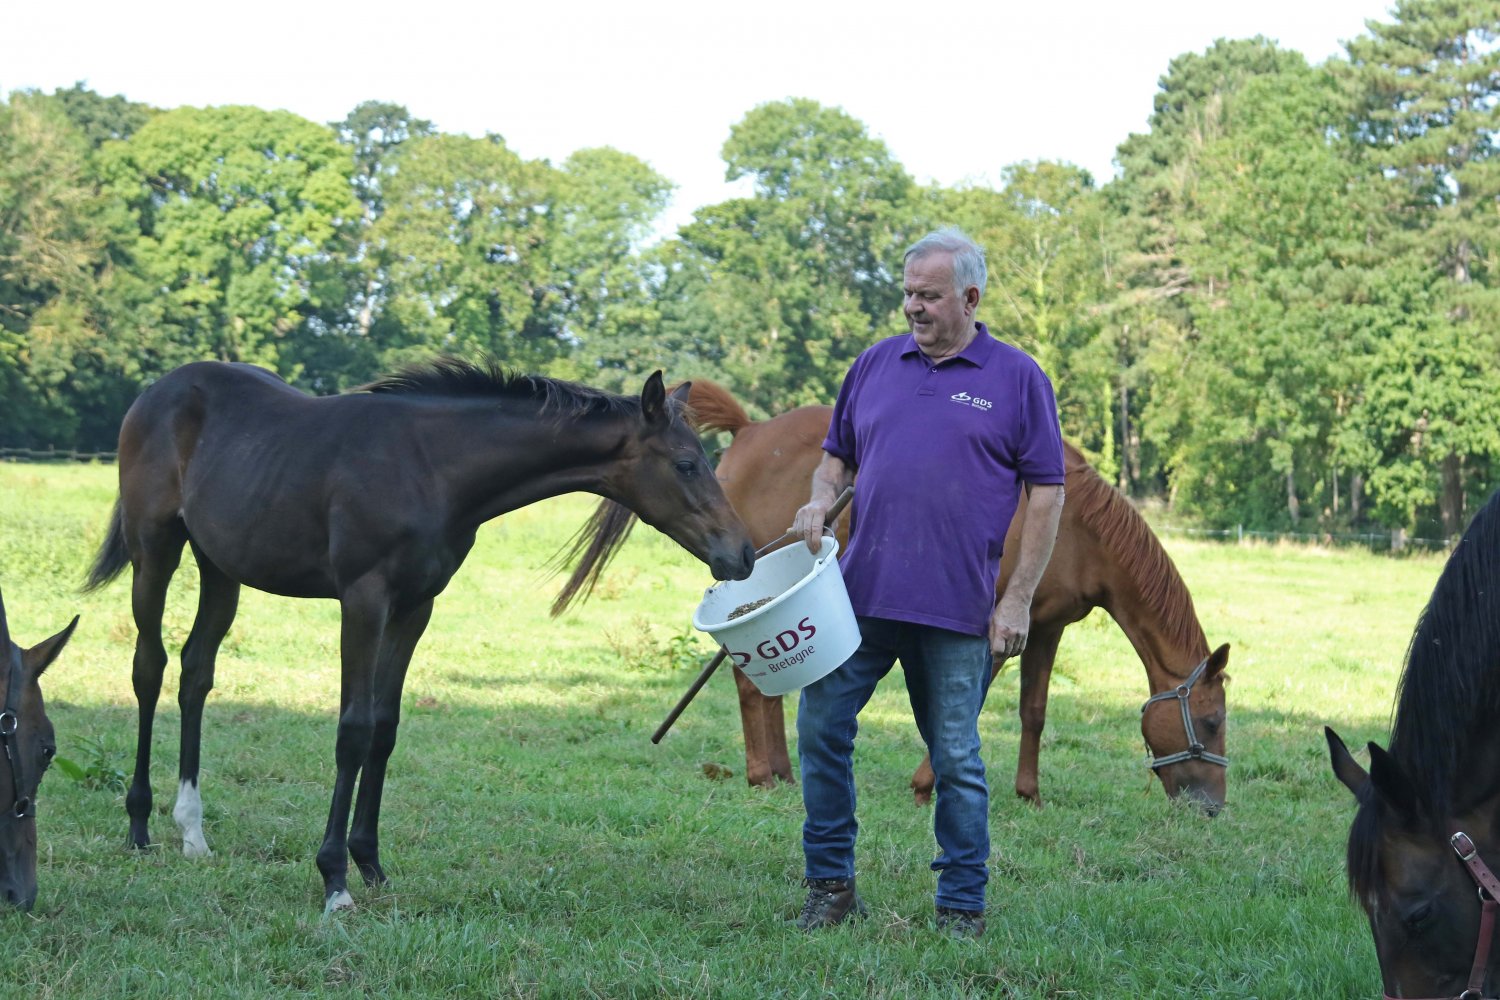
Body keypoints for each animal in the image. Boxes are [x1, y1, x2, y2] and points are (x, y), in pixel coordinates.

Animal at [84, 358, 755, 912]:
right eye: (687, 464)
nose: (741, 554)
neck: (429, 467)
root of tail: (156, 391)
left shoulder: (416, 606)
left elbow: (384, 728)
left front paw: (371, 864)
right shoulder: (364, 599)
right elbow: (353, 731)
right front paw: (334, 880)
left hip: (221, 566)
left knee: (196, 672)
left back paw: (192, 831)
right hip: (154, 550)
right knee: (149, 667)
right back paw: (139, 826)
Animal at [565, 379, 1230, 812]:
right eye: (1213, 721)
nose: (1212, 807)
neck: (1075, 527)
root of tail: (751, 430)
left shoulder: (1042, 627)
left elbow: (1034, 712)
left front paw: (1029, 794)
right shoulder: (984, 631)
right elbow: (965, 709)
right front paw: (925, 785)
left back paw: (783, 773)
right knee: (752, 687)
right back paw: (762, 776)